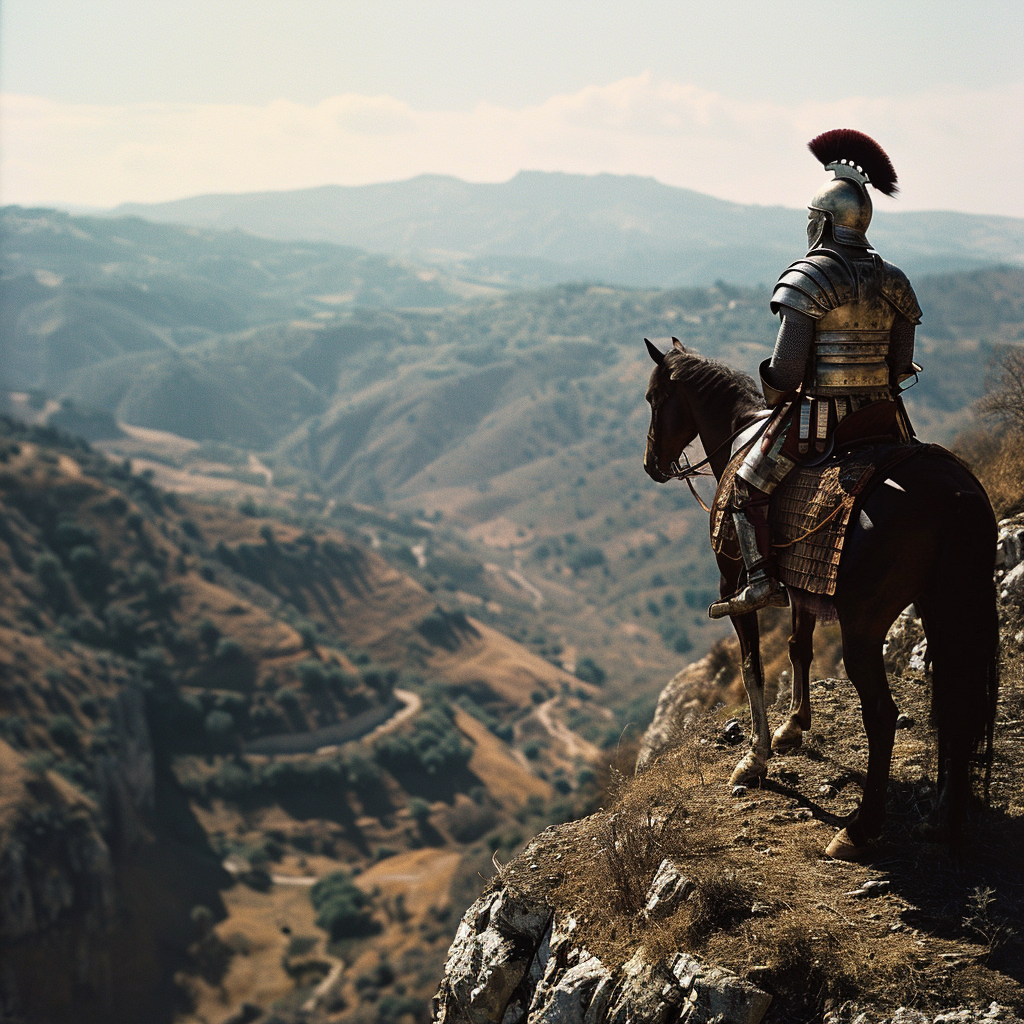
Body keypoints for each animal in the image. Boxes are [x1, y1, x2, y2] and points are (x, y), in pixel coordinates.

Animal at [643, 339, 995, 860]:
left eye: (653, 399)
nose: (651, 464)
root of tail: (955, 494)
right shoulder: (806, 585)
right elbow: (798, 649)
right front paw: (793, 726)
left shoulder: (734, 588)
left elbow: (752, 667)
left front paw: (756, 758)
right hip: (945, 608)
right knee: (955, 704)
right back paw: (942, 820)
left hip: (864, 626)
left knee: (883, 715)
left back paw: (859, 829)